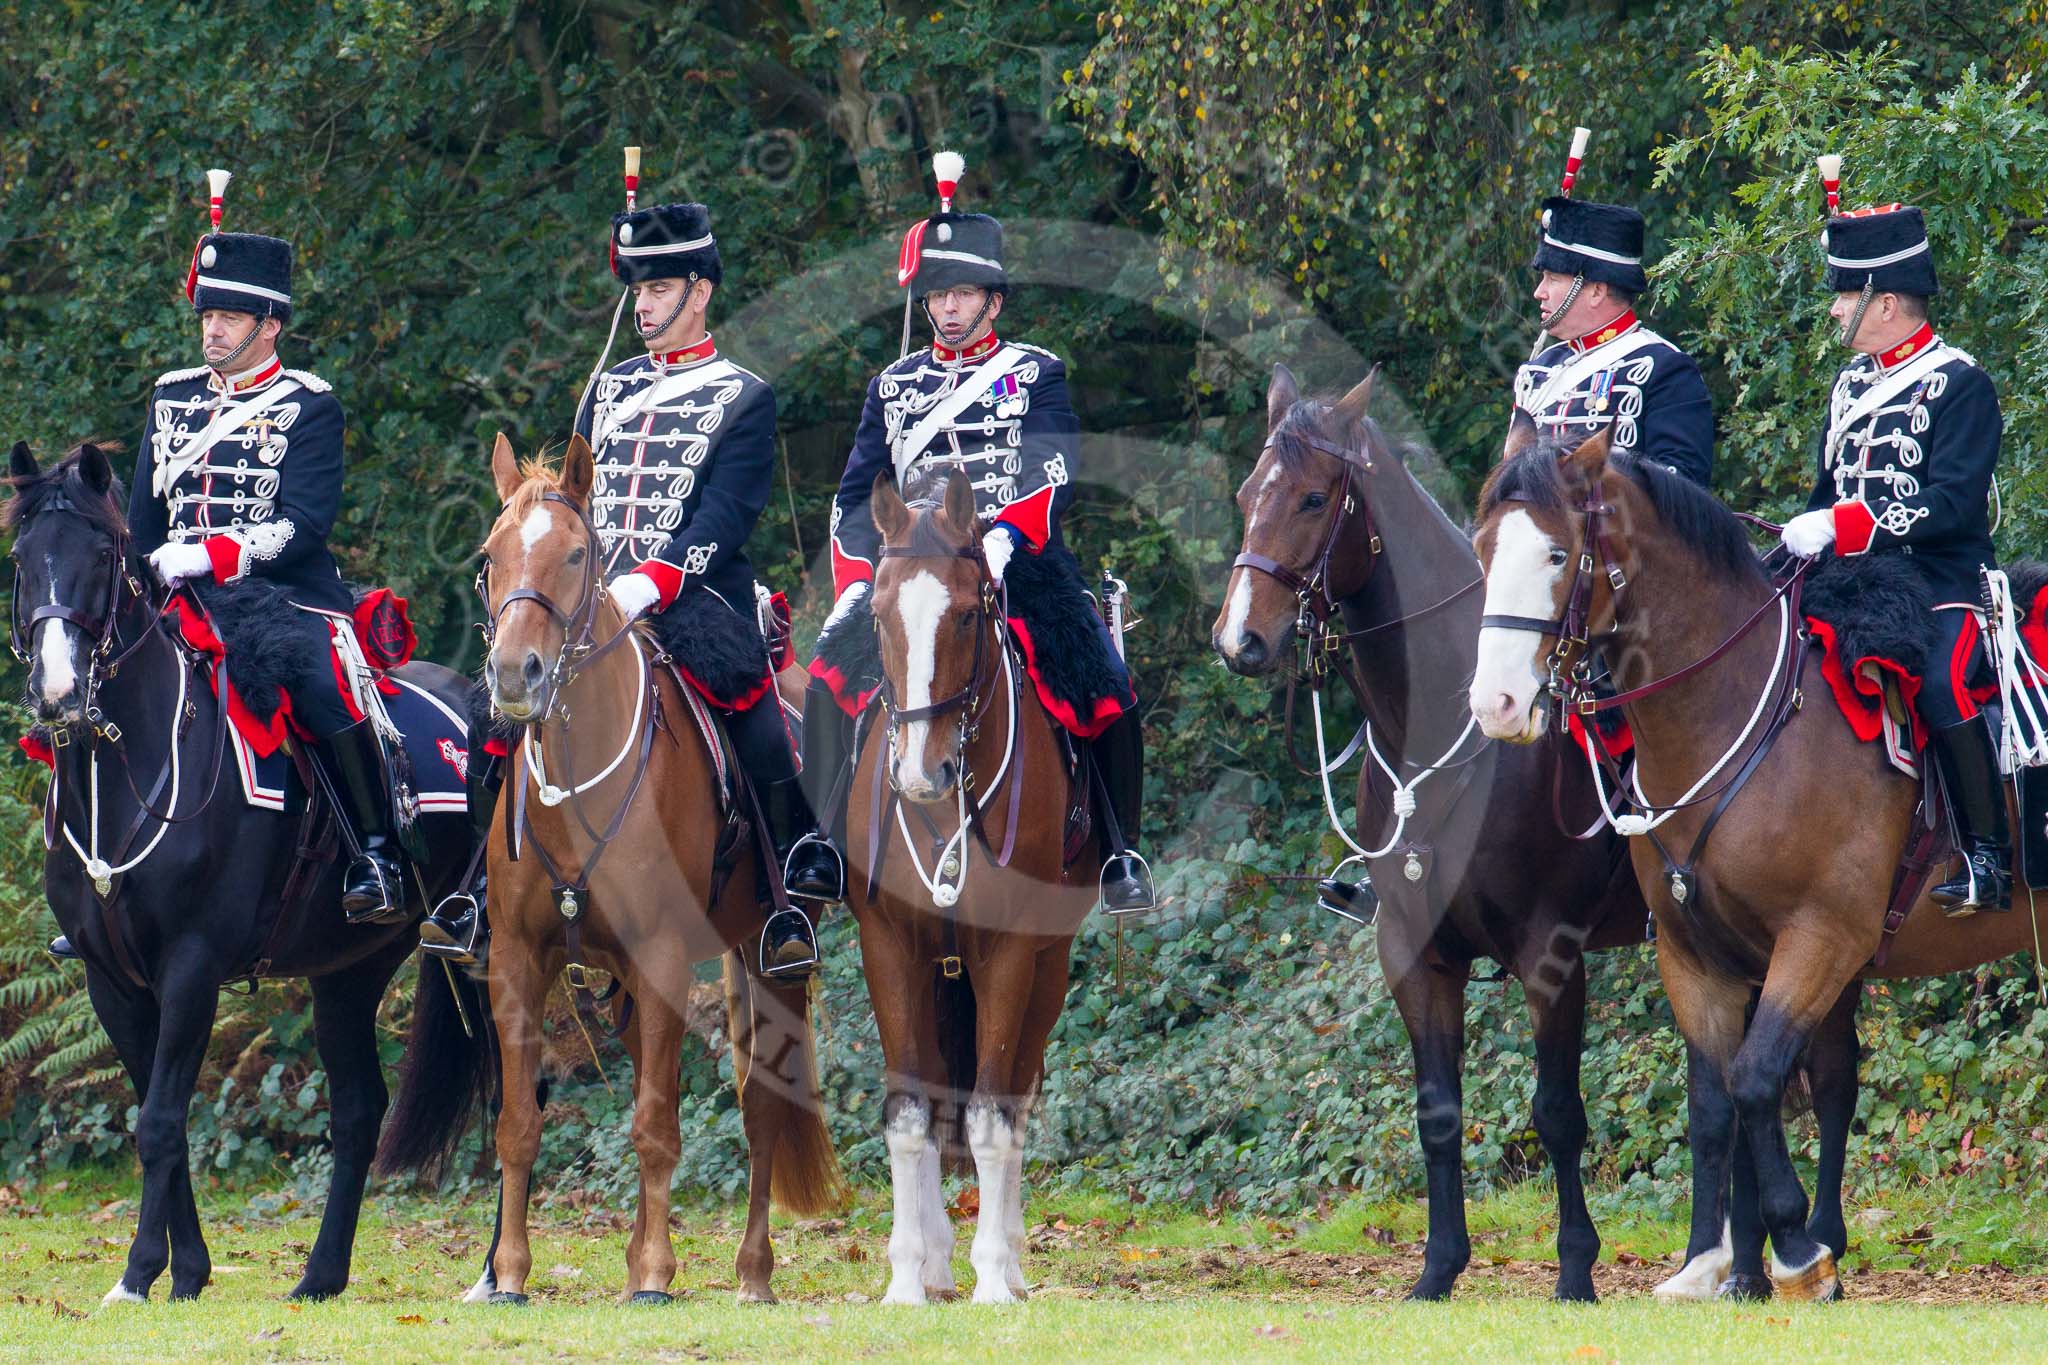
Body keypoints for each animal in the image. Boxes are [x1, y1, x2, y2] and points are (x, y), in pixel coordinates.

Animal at [7, 446, 483, 1301]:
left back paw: (500, 1274)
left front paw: (139, 1272)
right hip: (351, 968)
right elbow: (156, 1113)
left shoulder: (192, 964)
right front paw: (186, 1270)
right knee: (359, 1109)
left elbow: (161, 1120)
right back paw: (320, 1276)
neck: (122, 775)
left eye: (103, 557)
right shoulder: (110, 978)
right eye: (22, 560)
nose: (58, 692)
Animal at [391, 435, 839, 1301]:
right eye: (490, 555)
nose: (513, 675)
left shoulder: (663, 953)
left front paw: (659, 1274)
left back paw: (750, 1272)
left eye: (575, 553)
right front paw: (510, 1273)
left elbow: (658, 1126)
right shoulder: (517, 959)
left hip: (764, 957)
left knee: (759, 1108)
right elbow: (520, 1124)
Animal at [839, 472, 1097, 1309]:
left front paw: (992, 1277)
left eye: (964, 613)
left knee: (1012, 1096)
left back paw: (1005, 1259)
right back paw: (937, 1261)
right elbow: (909, 1114)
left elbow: (990, 1114)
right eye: (880, 616)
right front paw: (904, 1278)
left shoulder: (1010, 953)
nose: (922, 774)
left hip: (1047, 966)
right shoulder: (889, 947)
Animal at [1204, 366, 1654, 1301]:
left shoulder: (1551, 951)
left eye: (1312, 497)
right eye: (1246, 494)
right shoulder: (1413, 951)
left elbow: (1558, 1112)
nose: (1240, 640)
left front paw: (1575, 1270)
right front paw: (1438, 1268)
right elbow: (1438, 1110)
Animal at [1474, 427, 2048, 1301]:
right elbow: (1718, 1100)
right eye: (1482, 549)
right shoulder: (1697, 955)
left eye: (1556, 553)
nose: (1495, 704)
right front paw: (1726, 1258)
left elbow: (1753, 1078)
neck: (1727, 710)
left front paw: (1798, 1252)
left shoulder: (1821, 938)